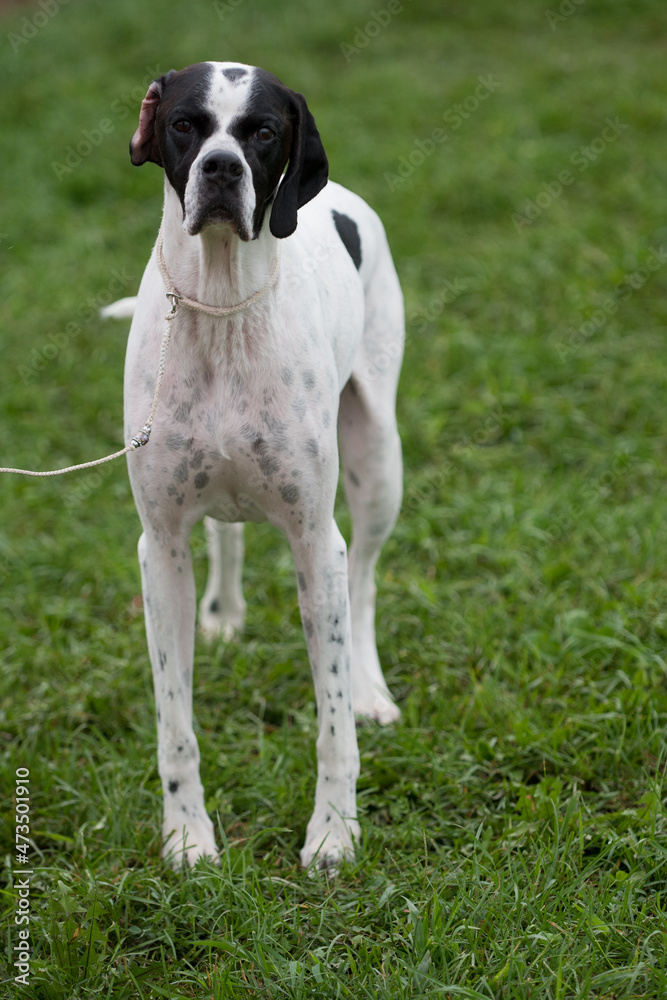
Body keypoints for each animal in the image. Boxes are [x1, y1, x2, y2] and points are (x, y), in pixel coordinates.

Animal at [113, 62, 404, 868]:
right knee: (226, 532)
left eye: (264, 131)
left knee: (366, 581)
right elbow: (175, 726)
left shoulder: (315, 542)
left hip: (380, 464)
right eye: (185, 123)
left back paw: (370, 688)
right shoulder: (160, 548)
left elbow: (331, 724)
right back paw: (223, 613)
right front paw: (186, 836)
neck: (220, 307)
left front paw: (334, 832)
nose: (221, 168)